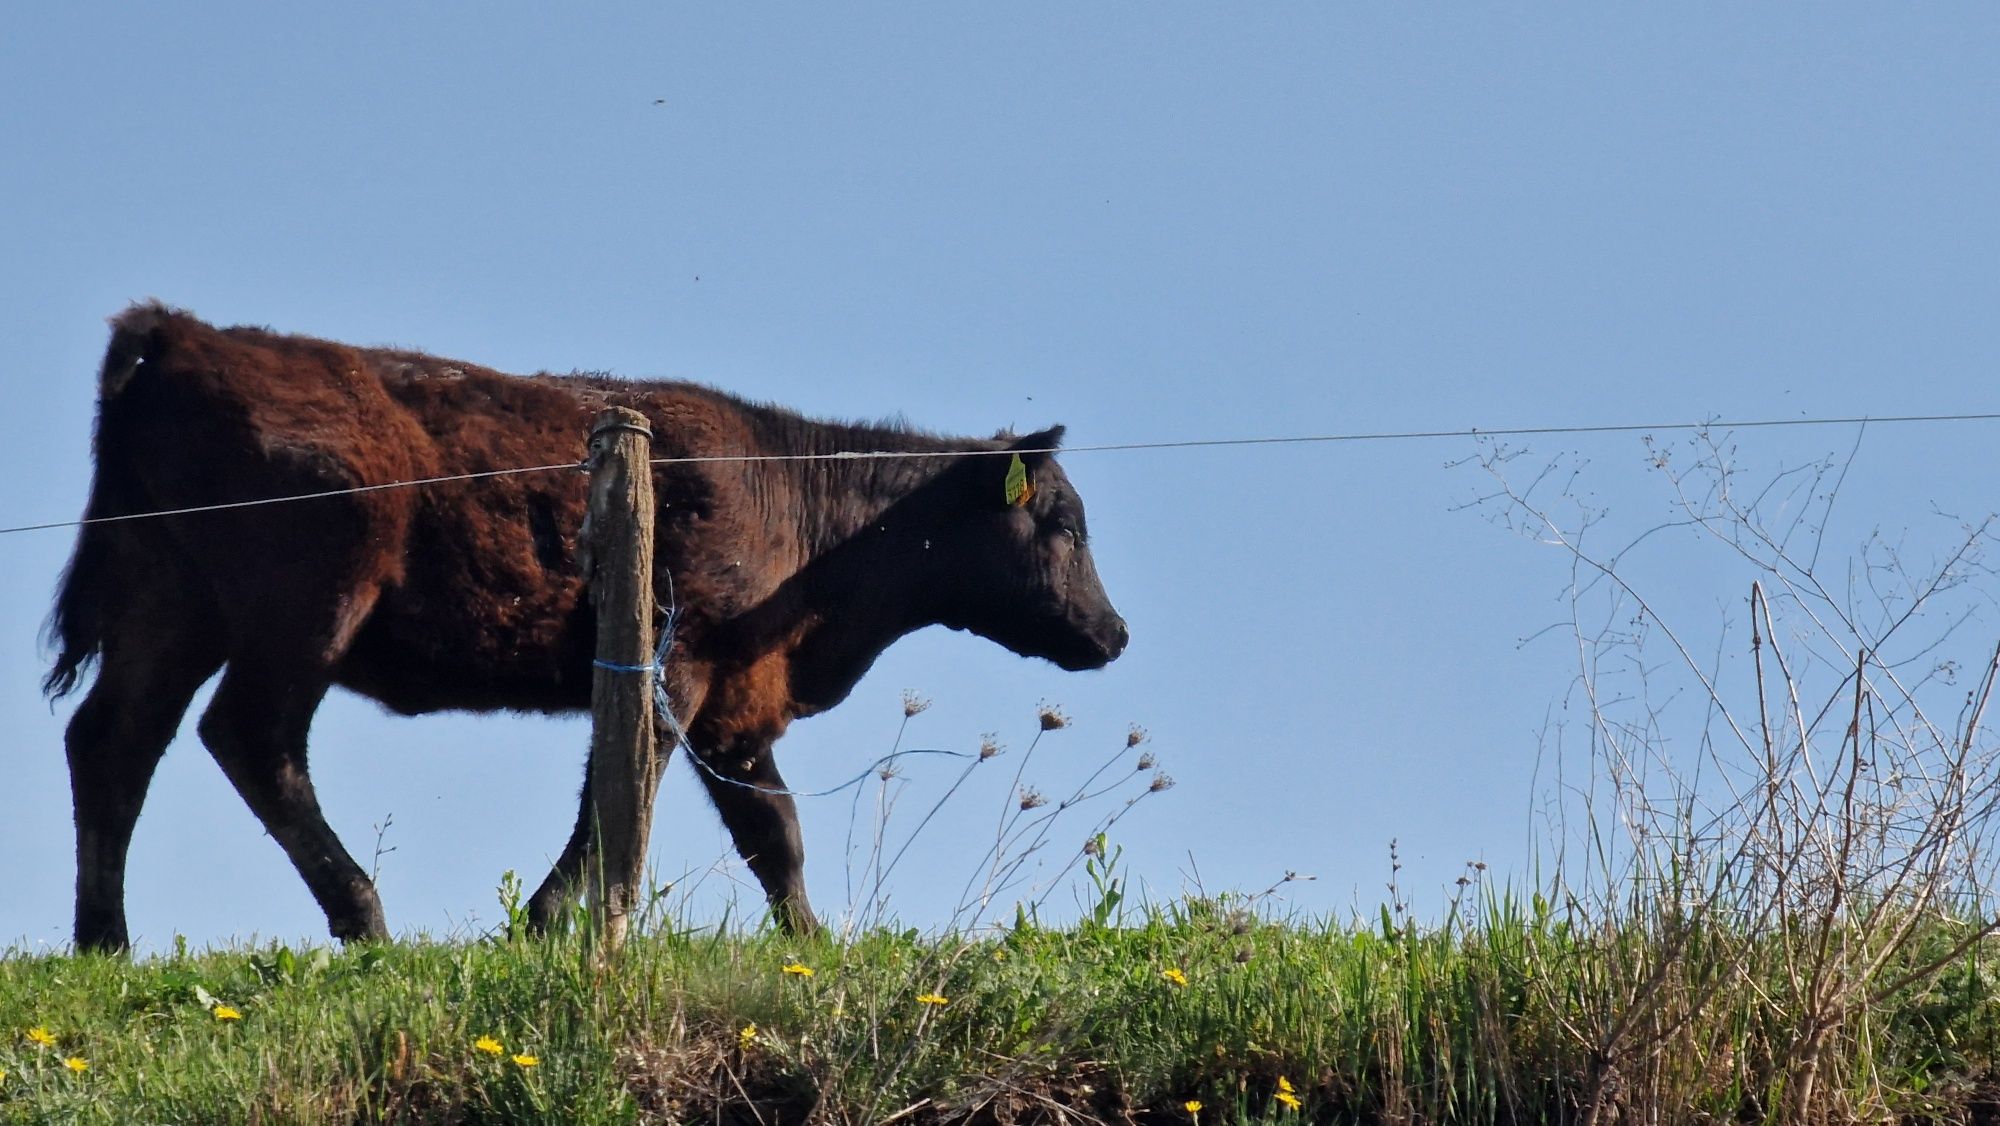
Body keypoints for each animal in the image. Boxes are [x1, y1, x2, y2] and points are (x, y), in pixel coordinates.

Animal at [43, 306, 1128, 952]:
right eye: (1065, 523)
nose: (1112, 634)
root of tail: (189, 332)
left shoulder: (735, 701)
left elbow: (772, 829)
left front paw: (811, 946)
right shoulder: (674, 663)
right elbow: (623, 791)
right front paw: (546, 922)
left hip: (166, 605)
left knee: (113, 742)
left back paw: (105, 942)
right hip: (303, 607)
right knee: (250, 739)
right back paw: (365, 921)